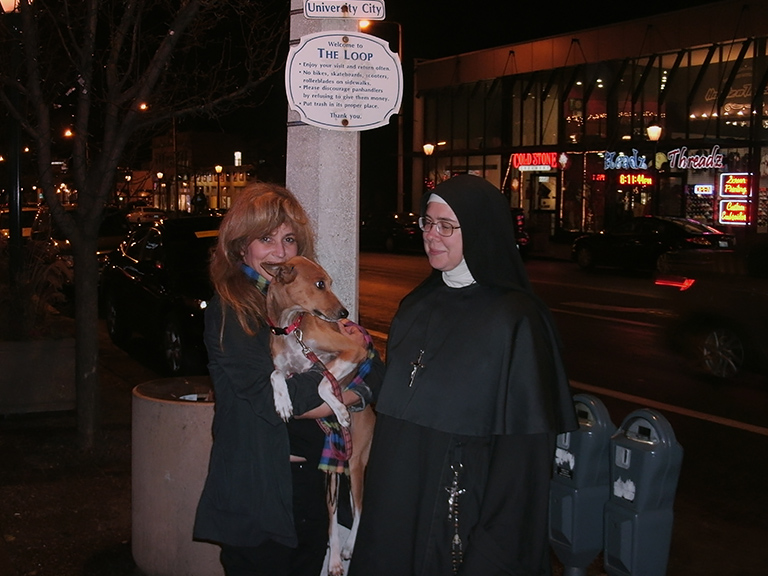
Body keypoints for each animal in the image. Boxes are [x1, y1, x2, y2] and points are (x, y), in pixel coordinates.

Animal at [260, 256, 376, 576]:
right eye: (320, 284)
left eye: (330, 282)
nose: (344, 314)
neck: (292, 329)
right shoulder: (289, 370)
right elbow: (276, 375)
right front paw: (283, 402)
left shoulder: (351, 350)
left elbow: (325, 384)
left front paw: (339, 407)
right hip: (333, 472)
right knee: (333, 518)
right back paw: (334, 559)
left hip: (356, 461)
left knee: (360, 509)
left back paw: (348, 549)